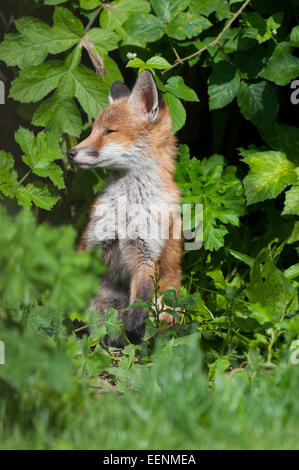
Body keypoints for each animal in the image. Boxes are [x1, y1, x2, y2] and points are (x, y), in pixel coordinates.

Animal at [68, 70, 183, 346]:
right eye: (93, 130)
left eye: (109, 131)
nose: (70, 152)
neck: (127, 210)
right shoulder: (94, 243)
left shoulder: (145, 255)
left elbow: (138, 304)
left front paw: (133, 334)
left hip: (167, 307)